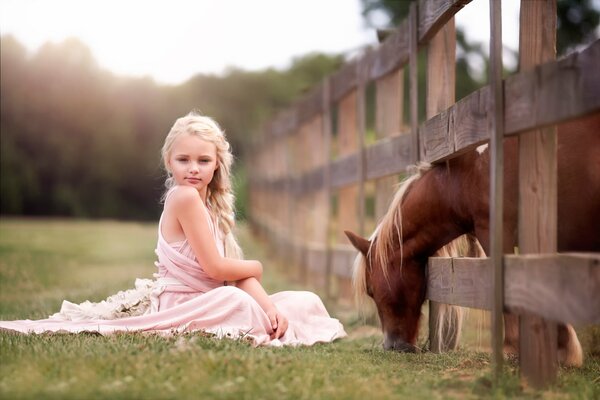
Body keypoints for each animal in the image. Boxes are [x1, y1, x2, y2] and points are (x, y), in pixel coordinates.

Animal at [344, 111, 596, 366]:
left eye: (371, 290)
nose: (391, 345)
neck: (463, 178)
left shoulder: (496, 231)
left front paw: (514, 348)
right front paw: (564, 347)